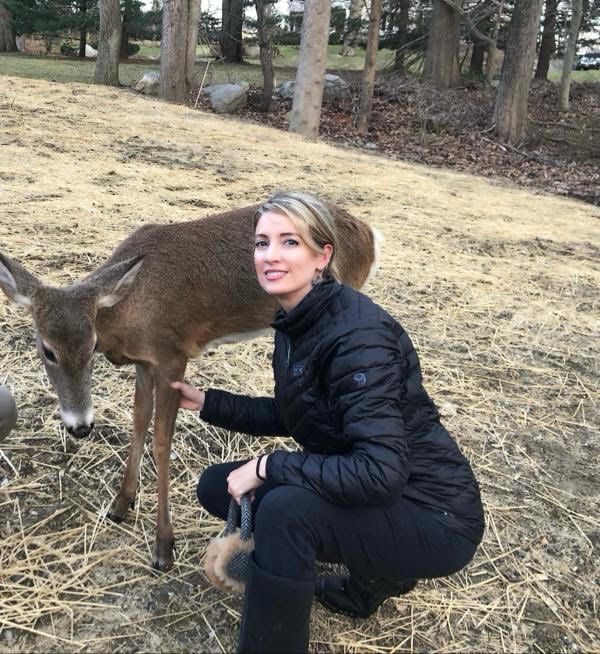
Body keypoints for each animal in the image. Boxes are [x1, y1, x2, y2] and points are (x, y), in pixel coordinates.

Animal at [0, 202, 379, 571]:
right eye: (47, 349)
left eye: (91, 345)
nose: (80, 427)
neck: (130, 308)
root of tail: (369, 234)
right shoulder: (144, 363)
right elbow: (139, 423)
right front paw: (121, 503)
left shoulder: (172, 354)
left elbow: (161, 442)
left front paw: (163, 545)